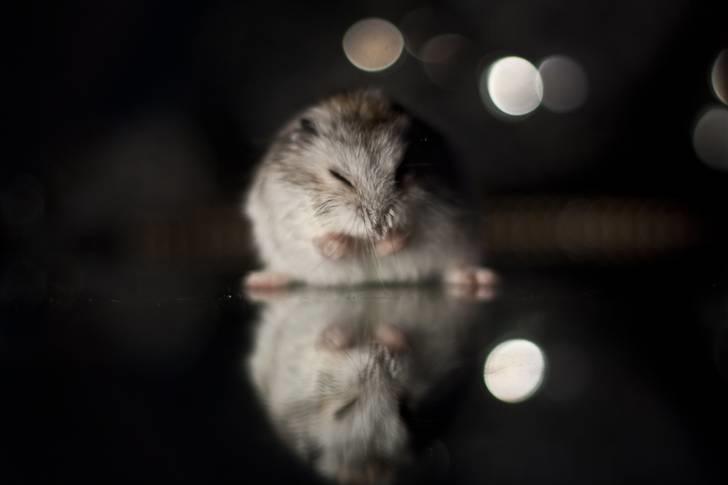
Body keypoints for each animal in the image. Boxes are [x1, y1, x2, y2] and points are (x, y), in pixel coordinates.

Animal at [243, 88, 495, 287]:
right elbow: (314, 239)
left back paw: (480, 278)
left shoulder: (440, 211)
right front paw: (341, 244)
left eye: (402, 171)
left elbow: (414, 232)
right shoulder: (289, 217)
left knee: (453, 269)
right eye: (339, 177)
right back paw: (260, 281)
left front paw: (386, 244)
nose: (378, 228)